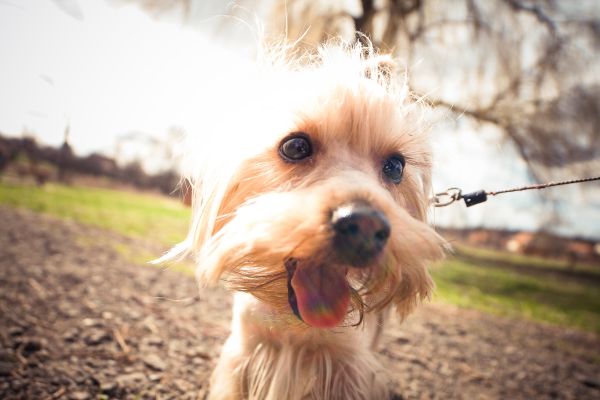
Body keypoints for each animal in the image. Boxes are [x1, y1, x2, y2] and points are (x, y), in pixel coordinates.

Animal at [163, 38, 446, 400]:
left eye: (396, 167)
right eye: (295, 146)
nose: (365, 226)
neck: (294, 321)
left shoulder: (349, 368)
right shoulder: (244, 354)